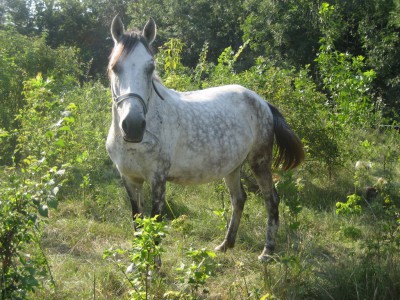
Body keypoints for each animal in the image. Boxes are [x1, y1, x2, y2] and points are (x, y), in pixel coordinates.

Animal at [105, 16, 304, 262]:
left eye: (150, 67)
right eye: (115, 67)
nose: (133, 126)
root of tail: (262, 102)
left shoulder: (157, 180)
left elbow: (154, 228)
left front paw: (153, 268)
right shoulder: (130, 179)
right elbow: (138, 224)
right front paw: (136, 266)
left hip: (260, 162)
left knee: (271, 199)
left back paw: (267, 251)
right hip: (232, 167)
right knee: (239, 199)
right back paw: (225, 245)